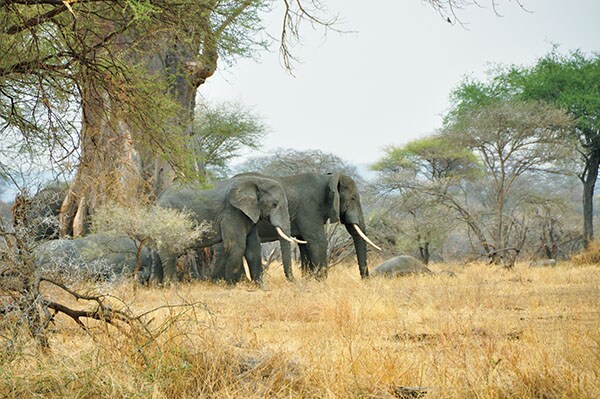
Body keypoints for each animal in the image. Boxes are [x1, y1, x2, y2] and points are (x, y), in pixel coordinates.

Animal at [152, 175, 298, 284]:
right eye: (274, 204)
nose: (293, 281)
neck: (257, 181)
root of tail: (158, 198)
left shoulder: (248, 213)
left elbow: (253, 247)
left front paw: (261, 287)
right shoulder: (232, 212)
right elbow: (237, 246)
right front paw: (231, 286)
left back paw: (157, 285)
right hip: (168, 215)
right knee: (167, 248)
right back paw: (173, 285)